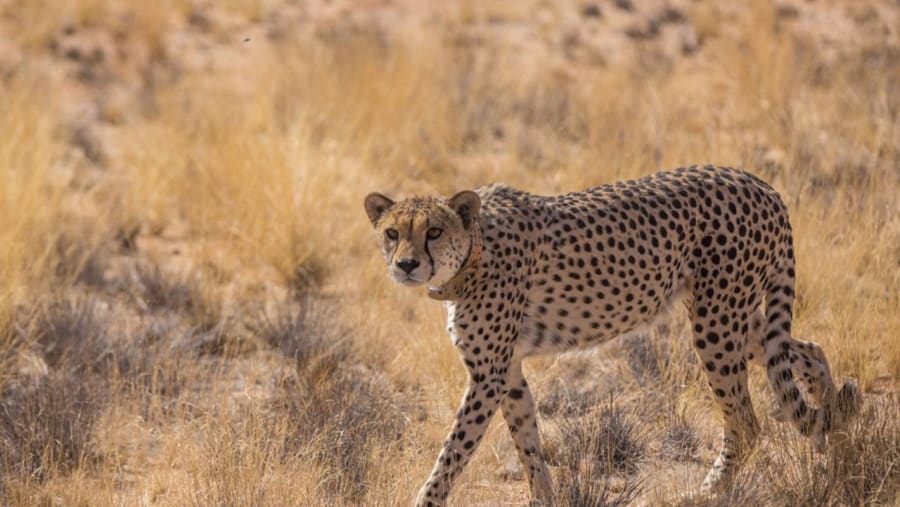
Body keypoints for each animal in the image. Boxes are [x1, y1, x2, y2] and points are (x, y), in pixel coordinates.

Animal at [363, 165, 861, 506]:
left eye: (433, 231)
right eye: (391, 233)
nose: (406, 264)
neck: (473, 251)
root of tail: (758, 182)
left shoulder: (488, 375)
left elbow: (455, 449)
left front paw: (426, 500)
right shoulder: (509, 371)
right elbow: (528, 440)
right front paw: (543, 496)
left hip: (716, 321)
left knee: (746, 419)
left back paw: (708, 491)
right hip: (735, 316)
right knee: (808, 352)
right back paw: (836, 440)